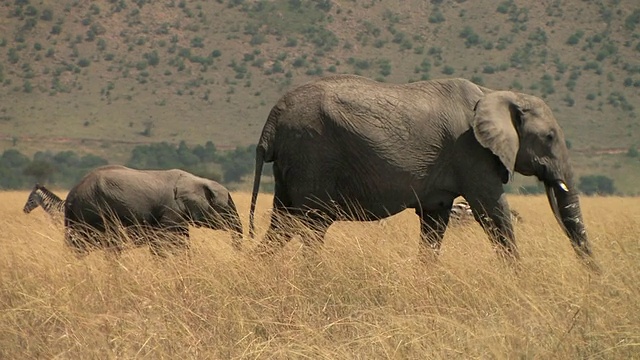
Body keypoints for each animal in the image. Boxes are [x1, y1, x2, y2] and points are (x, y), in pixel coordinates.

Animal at [65, 166, 244, 256]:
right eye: (227, 207)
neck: (196, 180)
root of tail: (72, 195)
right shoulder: (171, 210)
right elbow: (164, 242)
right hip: (94, 212)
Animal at [249, 74, 596, 268]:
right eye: (549, 137)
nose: (594, 279)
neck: (495, 93)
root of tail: (271, 121)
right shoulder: (472, 153)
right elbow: (492, 211)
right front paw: (517, 278)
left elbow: (434, 223)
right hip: (312, 151)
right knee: (311, 225)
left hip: (294, 162)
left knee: (282, 224)